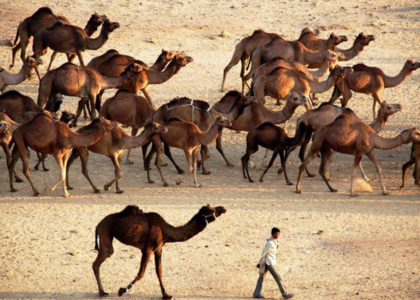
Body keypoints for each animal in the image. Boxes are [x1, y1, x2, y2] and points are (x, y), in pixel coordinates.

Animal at [92, 203, 226, 298]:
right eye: (212, 210)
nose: (223, 208)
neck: (165, 230)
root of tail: (98, 224)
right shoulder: (147, 249)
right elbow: (141, 273)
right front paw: (122, 290)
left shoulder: (159, 248)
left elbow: (159, 271)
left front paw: (166, 294)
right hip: (105, 231)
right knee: (102, 257)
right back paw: (102, 292)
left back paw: (102, 292)